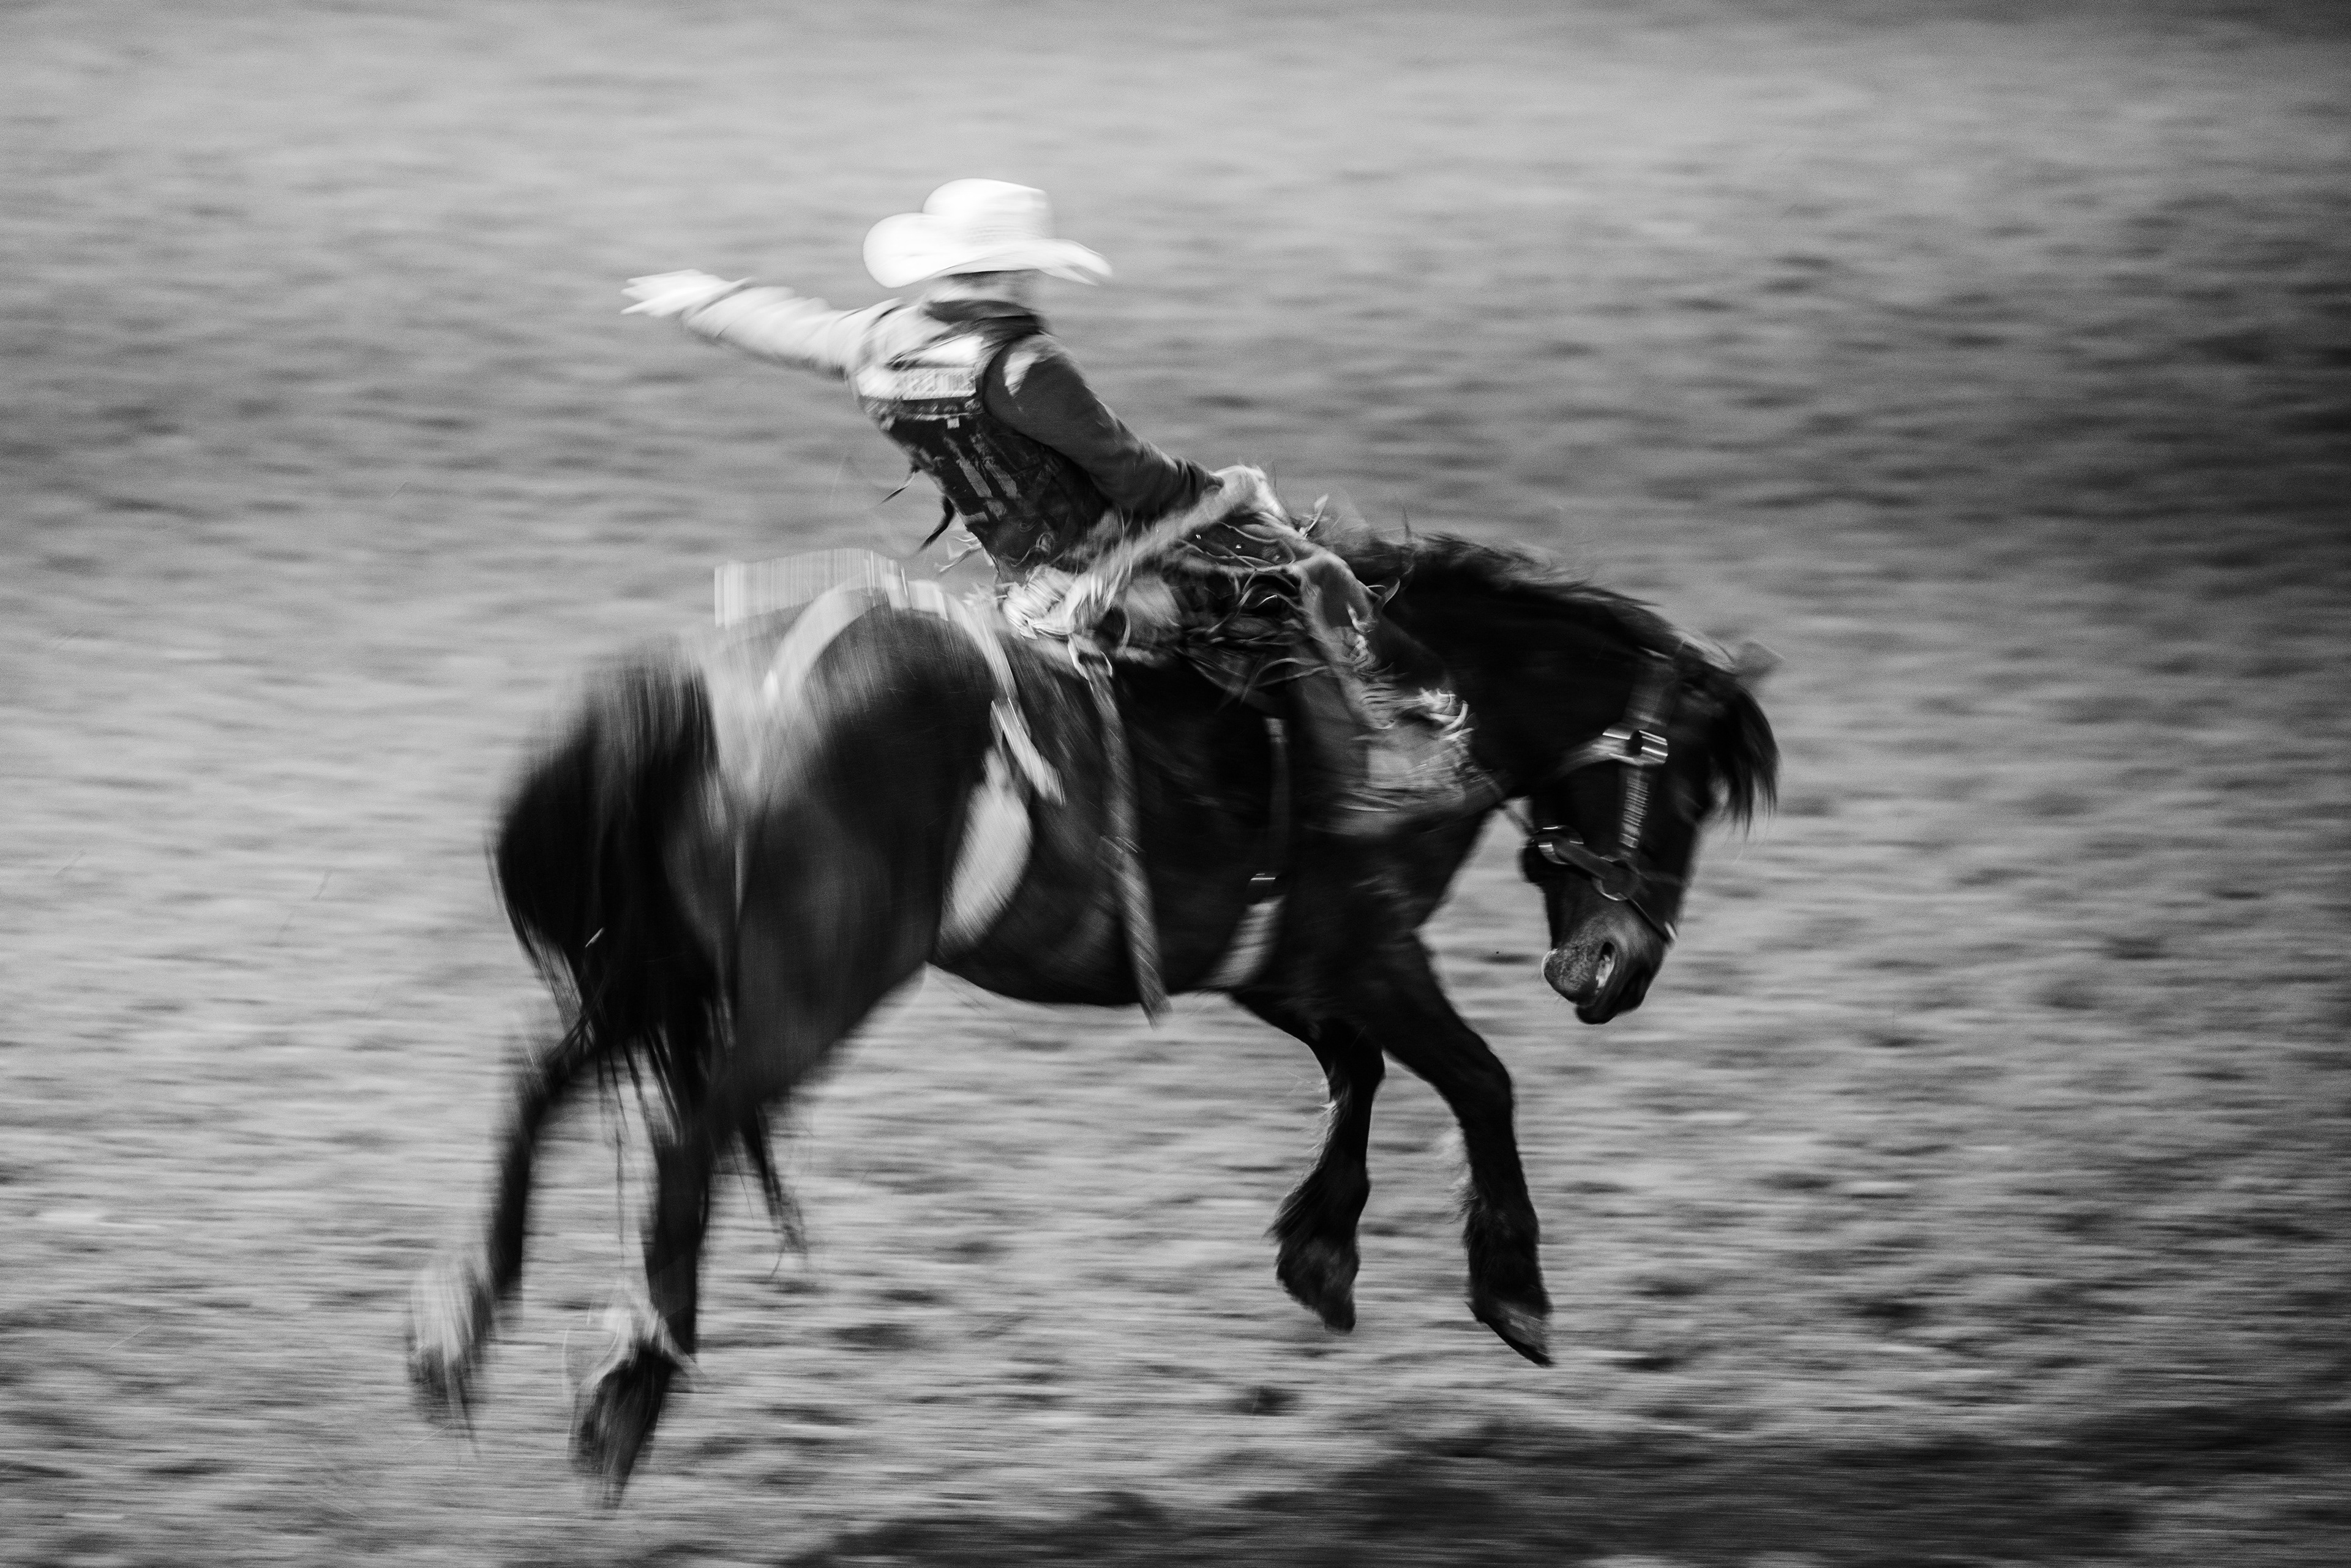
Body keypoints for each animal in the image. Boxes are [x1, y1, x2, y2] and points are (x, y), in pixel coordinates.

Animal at [406, 527, 1777, 1497]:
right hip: (806, 996)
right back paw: (628, 1380)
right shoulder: (1373, 945)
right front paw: (1512, 1284)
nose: (1619, 969)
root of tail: (705, 686)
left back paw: (459, 1329)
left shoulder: (1284, 963)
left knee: (537, 1085)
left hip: (658, 970)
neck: (1412, 693)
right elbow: (1475, 1074)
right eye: (1691, 794)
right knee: (685, 1134)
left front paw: (1321, 1248)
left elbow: (1360, 1072)